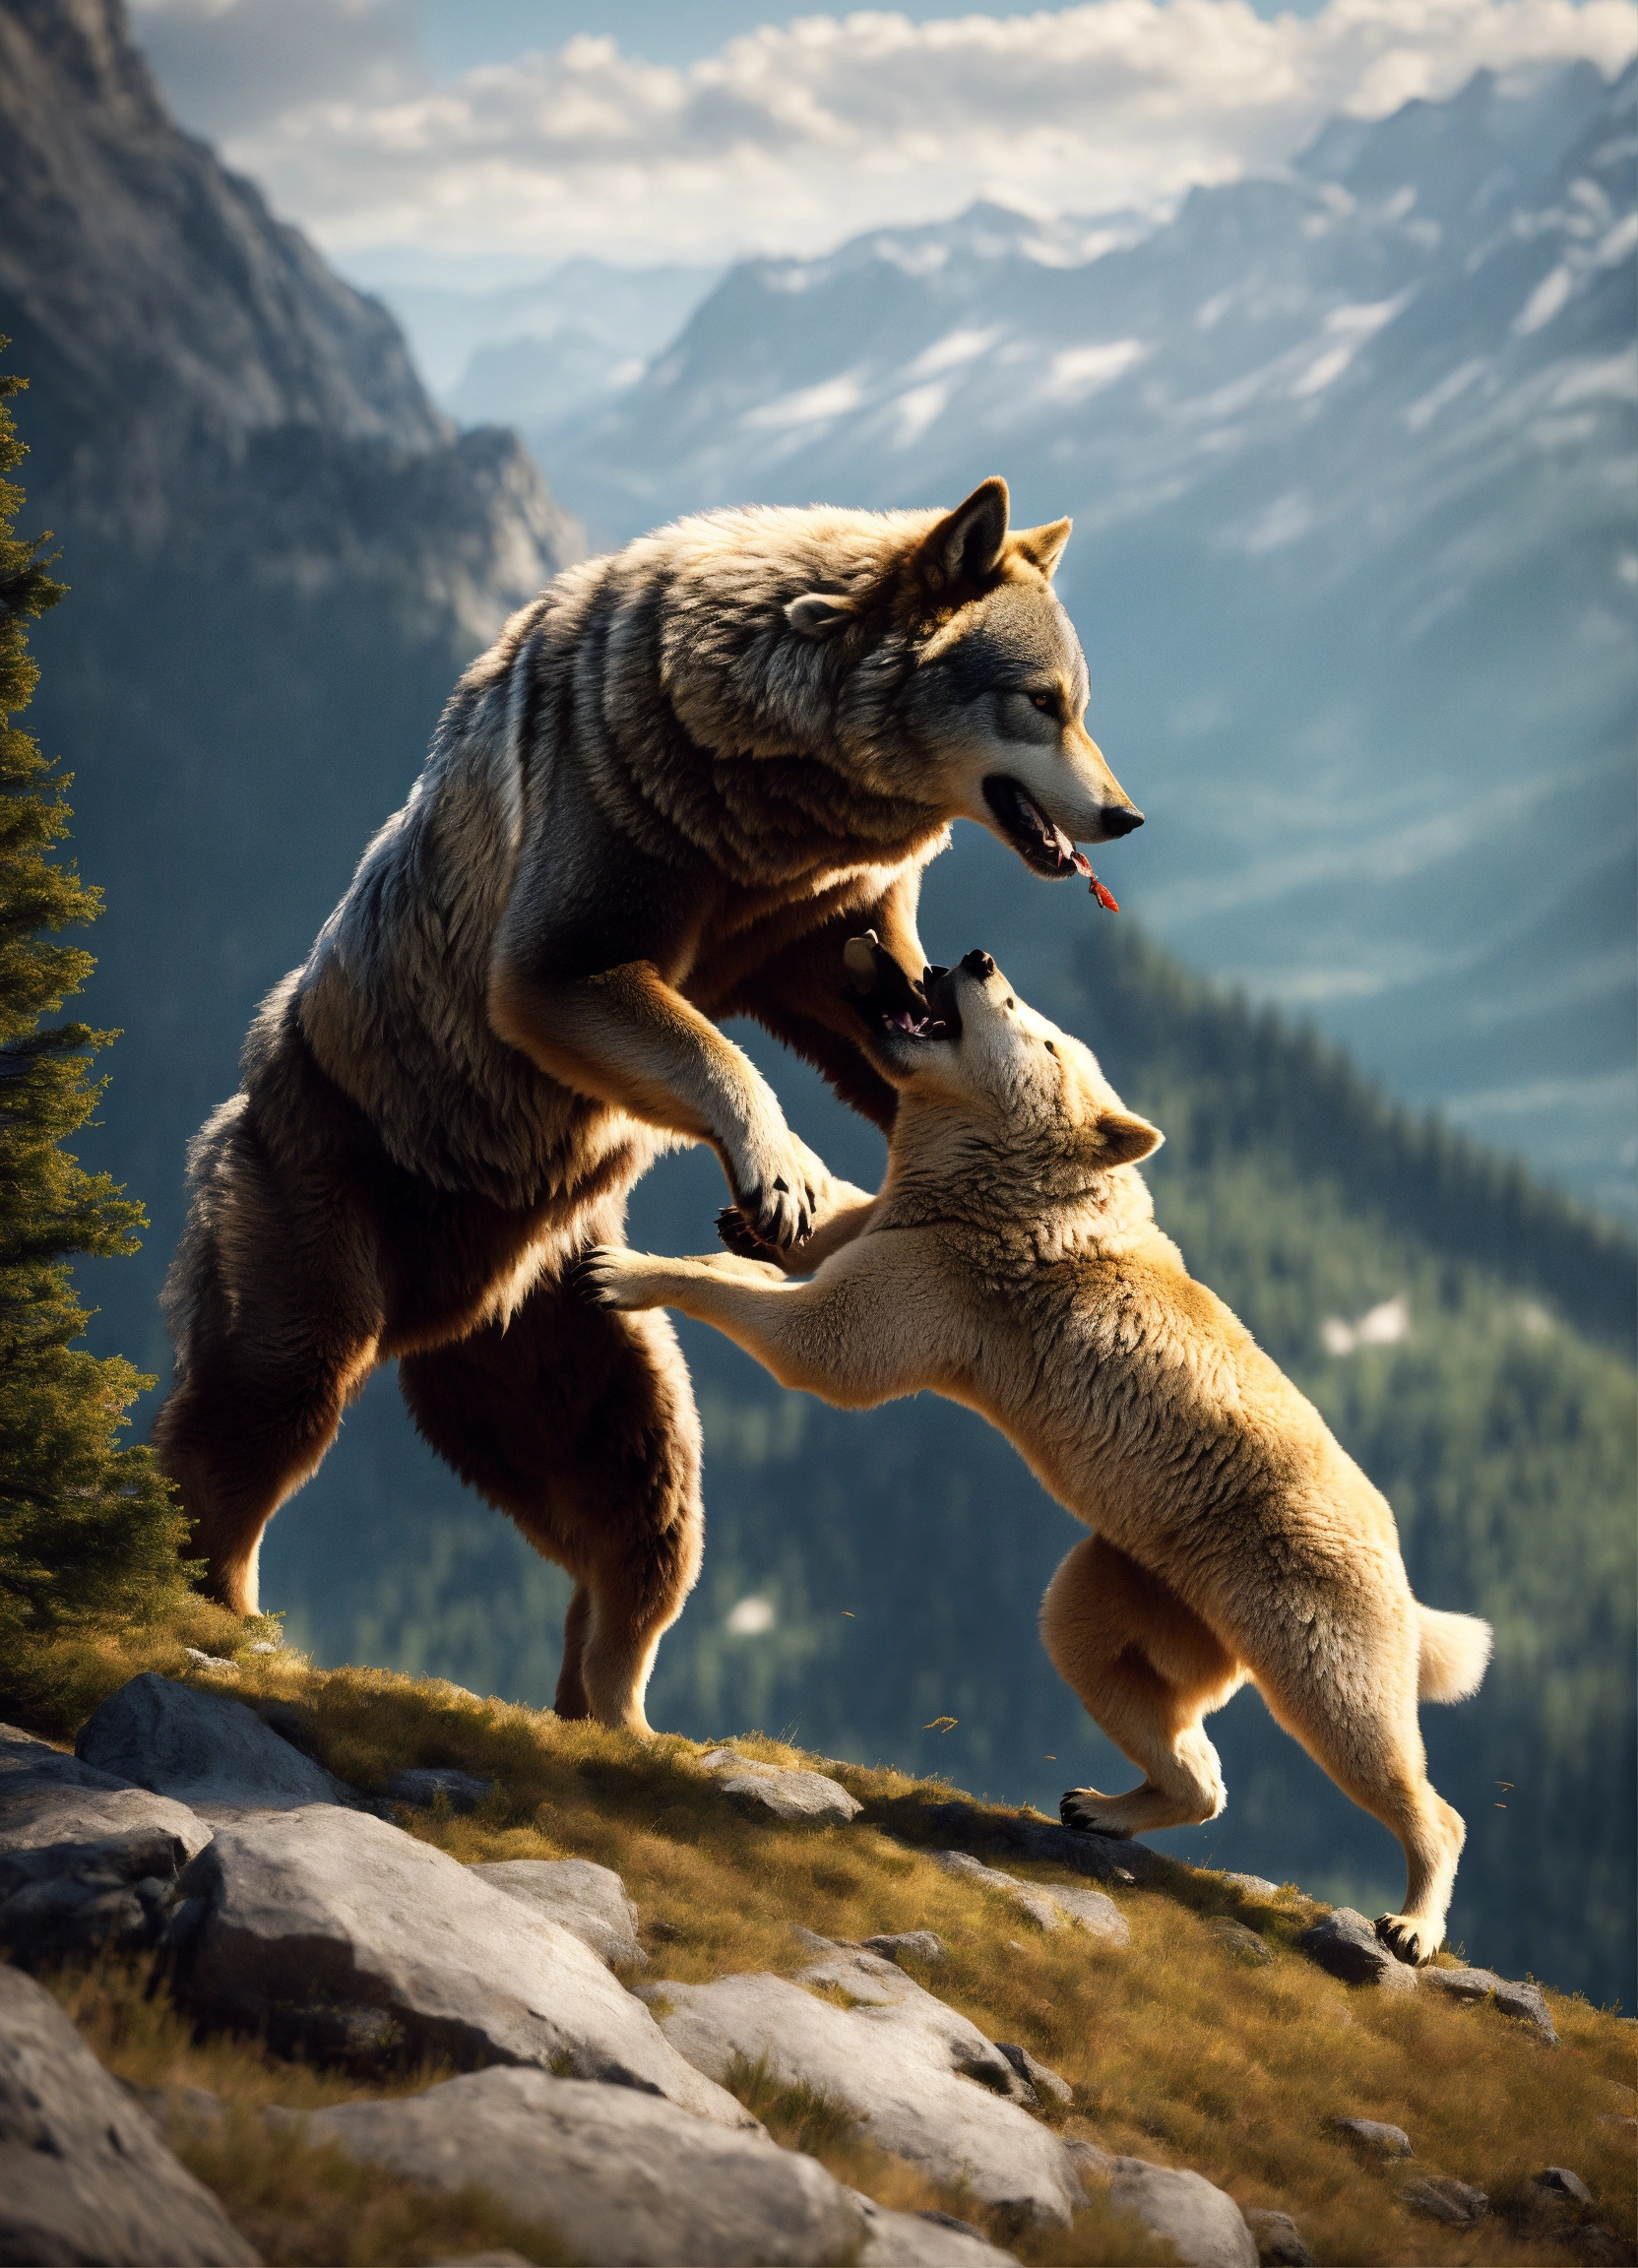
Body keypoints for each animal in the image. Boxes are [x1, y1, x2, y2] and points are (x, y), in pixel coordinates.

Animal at [155, 479, 1143, 1733]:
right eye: (1040, 701)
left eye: (1080, 701)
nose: (1121, 816)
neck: (768, 787)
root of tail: (439, 1314)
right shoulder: (605, 852)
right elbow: (633, 1010)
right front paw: (784, 1171)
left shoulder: (804, 918)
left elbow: (869, 1023)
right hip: (322, 1205)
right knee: (254, 1414)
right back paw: (223, 1618)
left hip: (569, 1349)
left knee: (633, 1523)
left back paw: (623, 1723)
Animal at [582, 942, 1492, 1962]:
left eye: (1037, 1025)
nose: (974, 958)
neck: (1009, 1187)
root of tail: (1401, 1566)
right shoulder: (922, 1224)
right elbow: (848, 1224)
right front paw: (762, 1216)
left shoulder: (958, 1281)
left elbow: (830, 1346)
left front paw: (625, 1269)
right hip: (1153, 1579)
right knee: (1096, 1653)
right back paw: (1103, 1804)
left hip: (1297, 1596)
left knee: (1356, 1727)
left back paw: (1412, 1917)